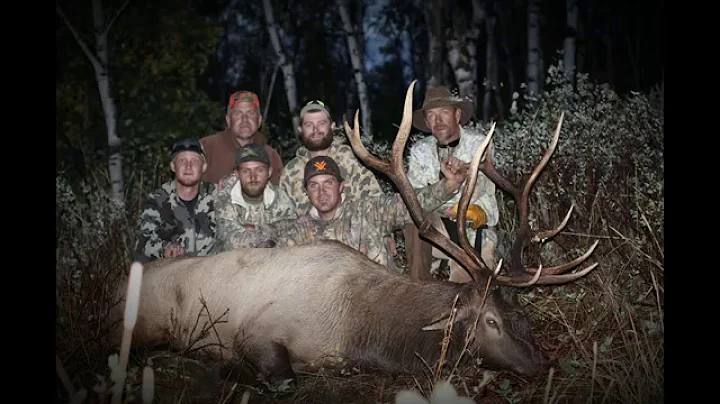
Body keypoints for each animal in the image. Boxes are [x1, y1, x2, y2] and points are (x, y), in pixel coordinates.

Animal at [106, 80, 599, 386]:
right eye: (490, 321)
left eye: (523, 317)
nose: (541, 363)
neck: (357, 330)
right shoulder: (254, 331)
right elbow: (279, 373)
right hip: (142, 325)